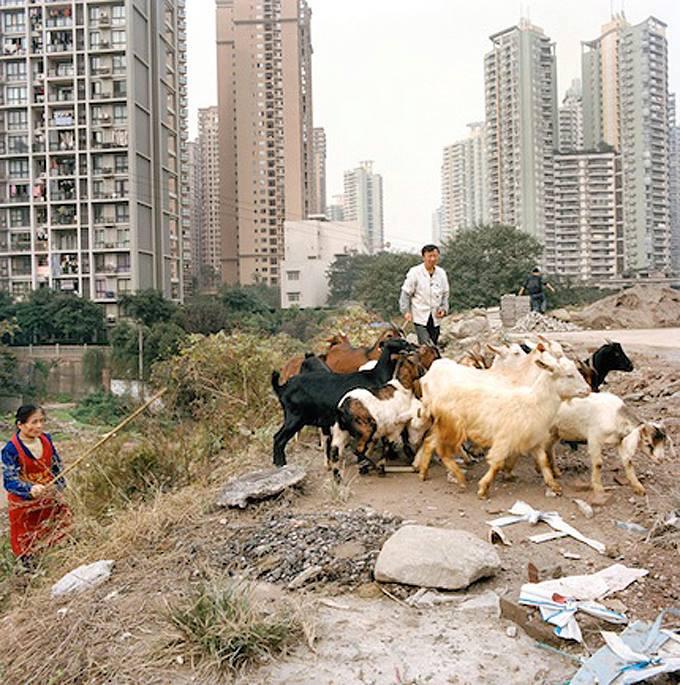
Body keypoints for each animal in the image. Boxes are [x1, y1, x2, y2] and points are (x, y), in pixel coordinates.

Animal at [270, 336, 410, 464]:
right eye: (401, 341)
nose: (411, 346)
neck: (375, 376)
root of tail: (283, 387)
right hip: (295, 417)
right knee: (279, 438)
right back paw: (280, 463)